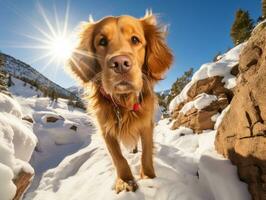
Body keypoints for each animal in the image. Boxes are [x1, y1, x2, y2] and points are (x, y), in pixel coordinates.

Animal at [67, 11, 174, 194]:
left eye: (135, 39)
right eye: (102, 41)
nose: (120, 64)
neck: (123, 102)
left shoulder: (146, 124)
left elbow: (146, 154)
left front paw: (149, 177)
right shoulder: (105, 129)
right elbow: (118, 157)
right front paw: (125, 181)